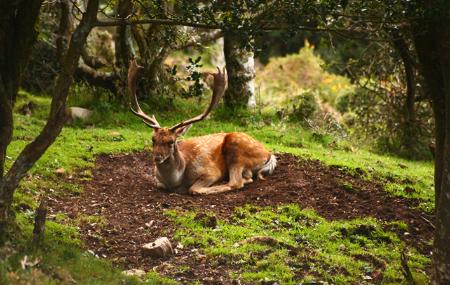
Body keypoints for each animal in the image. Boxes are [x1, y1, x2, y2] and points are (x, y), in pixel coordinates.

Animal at [127, 58, 278, 194]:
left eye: (171, 141)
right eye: (153, 139)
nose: (157, 157)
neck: (176, 181)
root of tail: (268, 154)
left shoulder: (210, 171)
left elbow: (194, 189)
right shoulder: (158, 181)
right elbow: (160, 185)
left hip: (237, 149)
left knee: (236, 182)